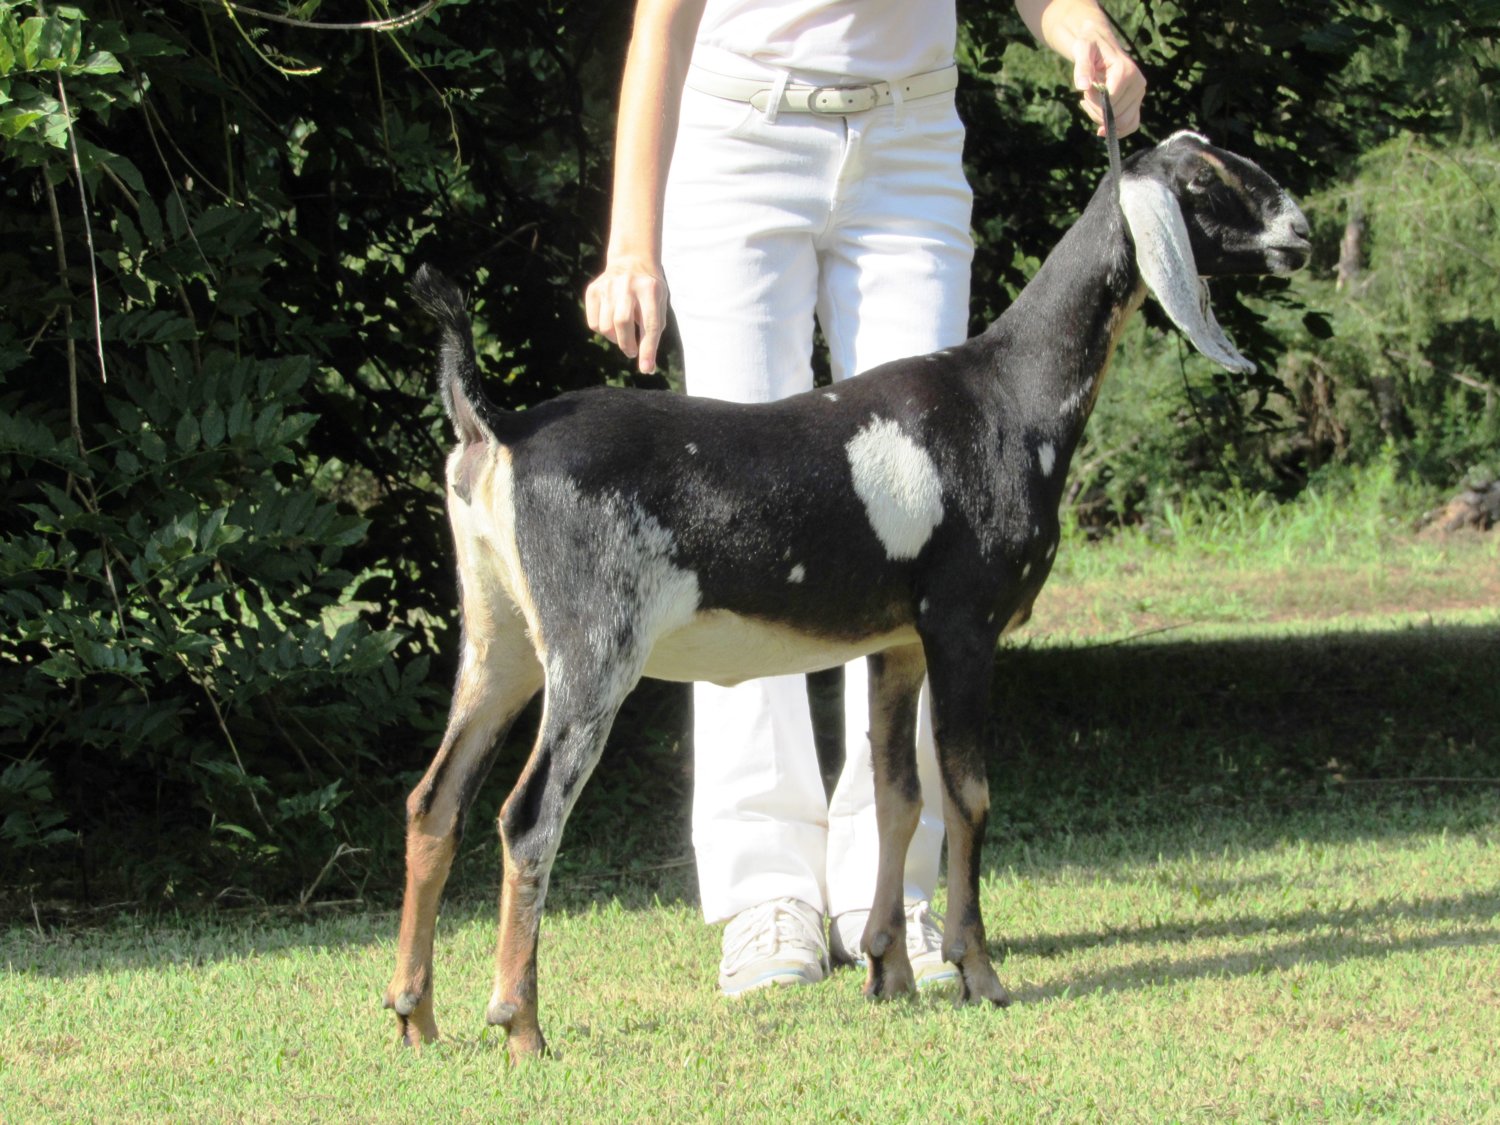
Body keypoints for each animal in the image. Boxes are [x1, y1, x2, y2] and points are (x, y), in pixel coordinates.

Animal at [390, 127, 1314, 1062]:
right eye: (1205, 183)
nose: (1301, 233)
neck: (1007, 395)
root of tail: (497, 427)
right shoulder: (963, 625)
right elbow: (967, 792)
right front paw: (980, 972)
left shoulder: (897, 641)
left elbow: (898, 794)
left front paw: (888, 968)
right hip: (593, 650)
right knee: (527, 817)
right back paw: (520, 1024)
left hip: (501, 642)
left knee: (435, 800)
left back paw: (415, 1016)